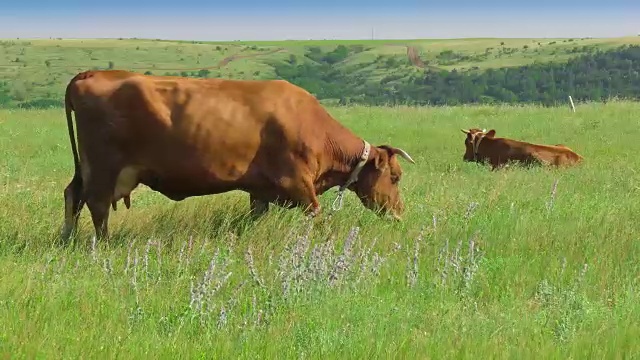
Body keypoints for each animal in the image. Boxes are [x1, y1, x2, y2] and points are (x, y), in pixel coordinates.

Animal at [62, 69, 418, 242]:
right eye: (396, 177)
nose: (400, 213)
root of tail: (94, 73)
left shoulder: (261, 191)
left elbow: (253, 218)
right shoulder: (298, 182)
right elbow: (316, 216)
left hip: (88, 168)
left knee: (73, 195)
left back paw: (67, 239)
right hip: (104, 167)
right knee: (95, 205)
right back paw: (103, 245)